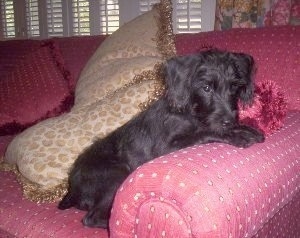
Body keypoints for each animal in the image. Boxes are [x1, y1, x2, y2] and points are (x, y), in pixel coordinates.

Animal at [58, 48, 264, 229]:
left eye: (234, 86)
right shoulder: (165, 147)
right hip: (116, 176)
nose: (229, 121)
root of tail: (72, 188)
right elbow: (203, 133)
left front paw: (246, 128)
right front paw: (237, 135)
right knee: (92, 218)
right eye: (206, 88)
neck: (191, 111)